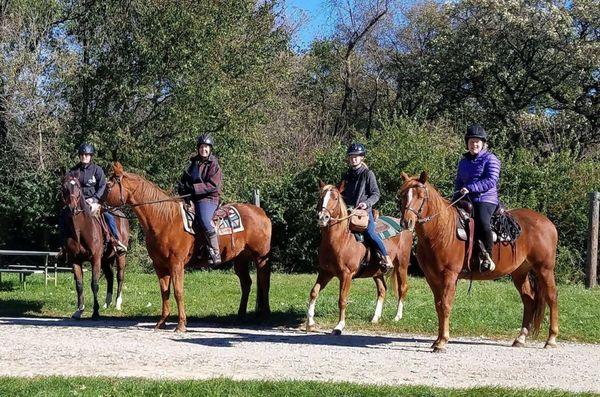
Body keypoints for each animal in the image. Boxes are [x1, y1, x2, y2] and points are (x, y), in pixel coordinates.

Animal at [60, 173, 129, 318]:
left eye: (78, 186)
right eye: (64, 187)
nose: (72, 207)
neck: (80, 230)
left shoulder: (95, 259)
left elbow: (94, 284)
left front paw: (95, 312)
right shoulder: (75, 260)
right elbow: (79, 285)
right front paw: (79, 310)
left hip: (120, 255)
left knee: (120, 276)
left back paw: (117, 303)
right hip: (106, 259)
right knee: (110, 276)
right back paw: (107, 303)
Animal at [103, 161, 272, 332]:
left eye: (109, 185)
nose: (97, 204)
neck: (164, 220)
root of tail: (260, 212)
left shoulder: (176, 264)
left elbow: (178, 292)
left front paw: (181, 324)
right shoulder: (160, 265)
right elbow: (165, 292)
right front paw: (161, 322)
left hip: (260, 257)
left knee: (264, 281)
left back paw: (265, 315)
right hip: (240, 259)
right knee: (246, 284)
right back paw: (240, 317)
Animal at [308, 183, 414, 334]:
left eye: (335, 198)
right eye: (321, 197)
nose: (323, 217)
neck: (342, 239)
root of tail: (405, 226)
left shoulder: (346, 275)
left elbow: (342, 299)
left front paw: (339, 326)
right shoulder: (325, 272)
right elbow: (314, 292)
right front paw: (310, 323)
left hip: (402, 265)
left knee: (403, 288)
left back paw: (397, 317)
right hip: (377, 272)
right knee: (382, 289)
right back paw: (375, 318)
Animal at [398, 172, 556, 352]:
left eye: (421, 196)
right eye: (402, 195)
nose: (406, 222)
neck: (441, 231)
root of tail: (547, 222)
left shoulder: (450, 275)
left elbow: (445, 305)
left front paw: (443, 341)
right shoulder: (432, 278)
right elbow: (438, 305)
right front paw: (437, 340)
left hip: (545, 269)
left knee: (552, 297)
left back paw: (551, 339)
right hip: (520, 272)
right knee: (529, 300)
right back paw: (520, 338)